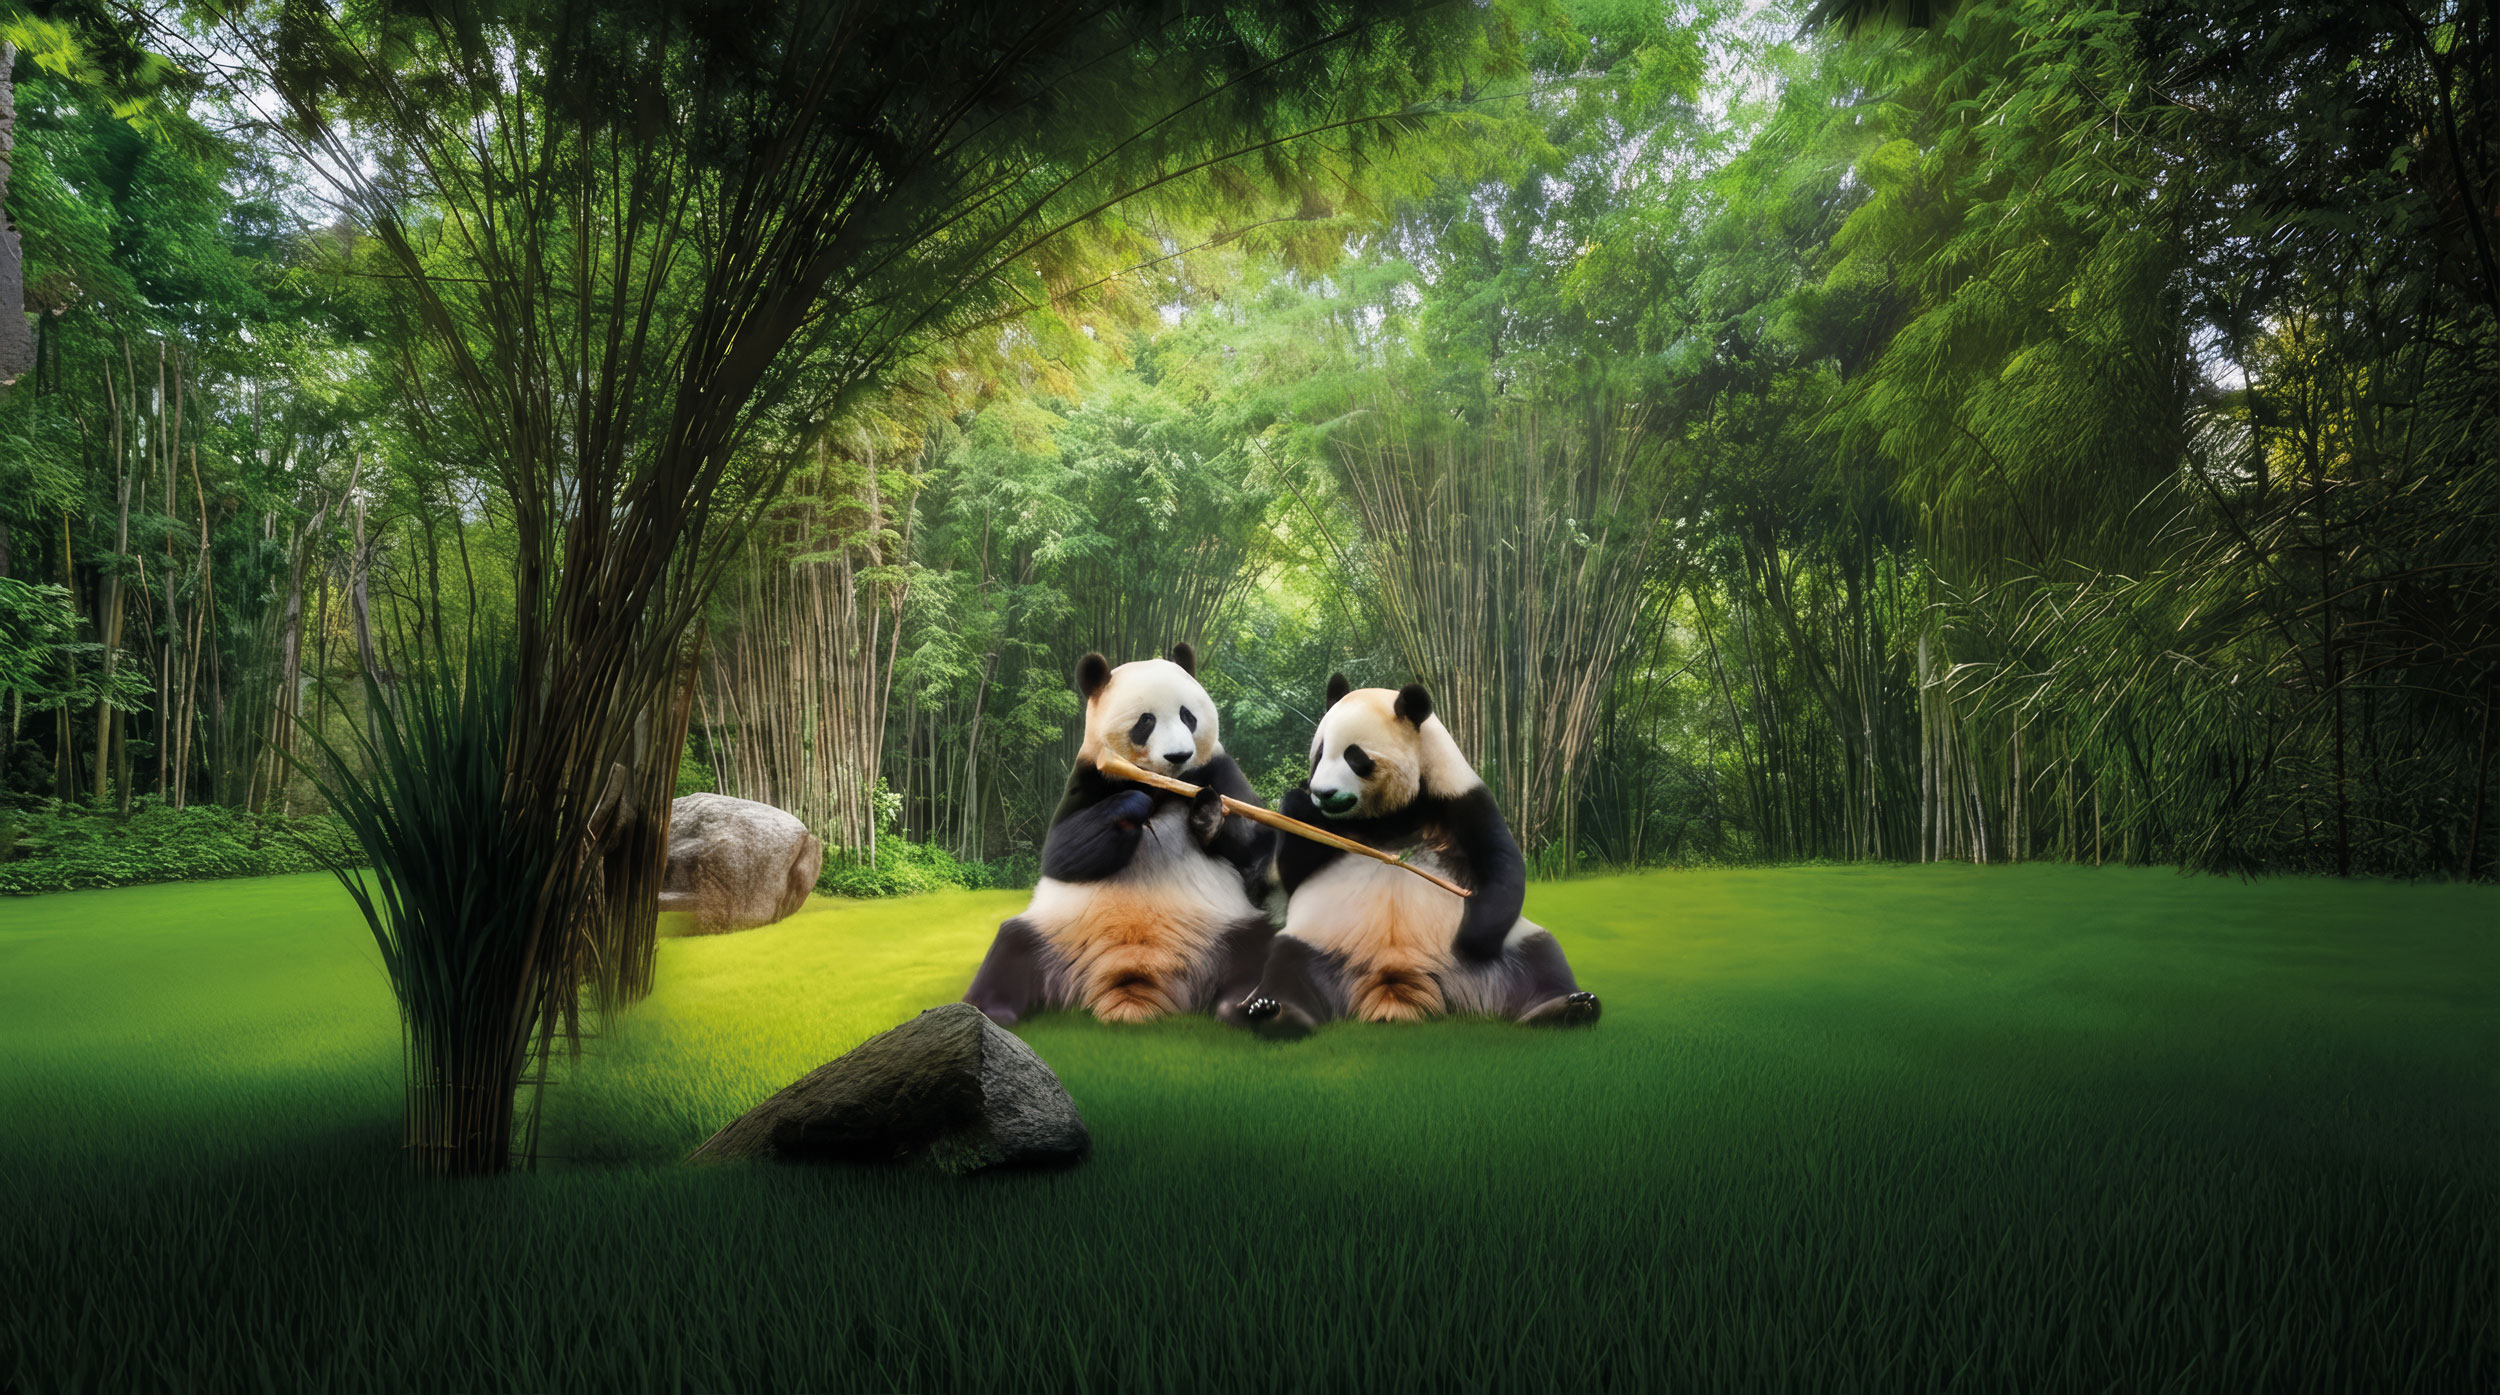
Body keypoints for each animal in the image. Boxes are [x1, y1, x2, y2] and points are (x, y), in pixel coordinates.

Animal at [963, 644, 1277, 1026]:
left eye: (1188, 716)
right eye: (1146, 721)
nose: (1179, 755)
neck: (1161, 785)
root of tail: (1130, 987)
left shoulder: (1218, 769)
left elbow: (1253, 840)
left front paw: (1207, 812)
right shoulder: (1090, 776)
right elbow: (1060, 854)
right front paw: (1132, 806)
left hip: (1226, 927)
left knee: (1260, 948)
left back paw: (1249, 1007)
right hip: (1055, 932)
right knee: (1011, 947)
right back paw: (987, 1011)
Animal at [1227, 675, 1600, 1039]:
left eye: (1354, 757)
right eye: (1319, 754)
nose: (1323, 793)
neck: (1391, 815)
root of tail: (1397, 985)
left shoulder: (1460, 798)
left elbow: (1502, 862)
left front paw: (1473, 939)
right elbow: (1293, 872)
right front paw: (1298, 803)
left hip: (1501, 955)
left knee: (1540, 956)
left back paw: (1567, 1007)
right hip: (1320, 944)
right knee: (1286, 965)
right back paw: (1272, 1013)